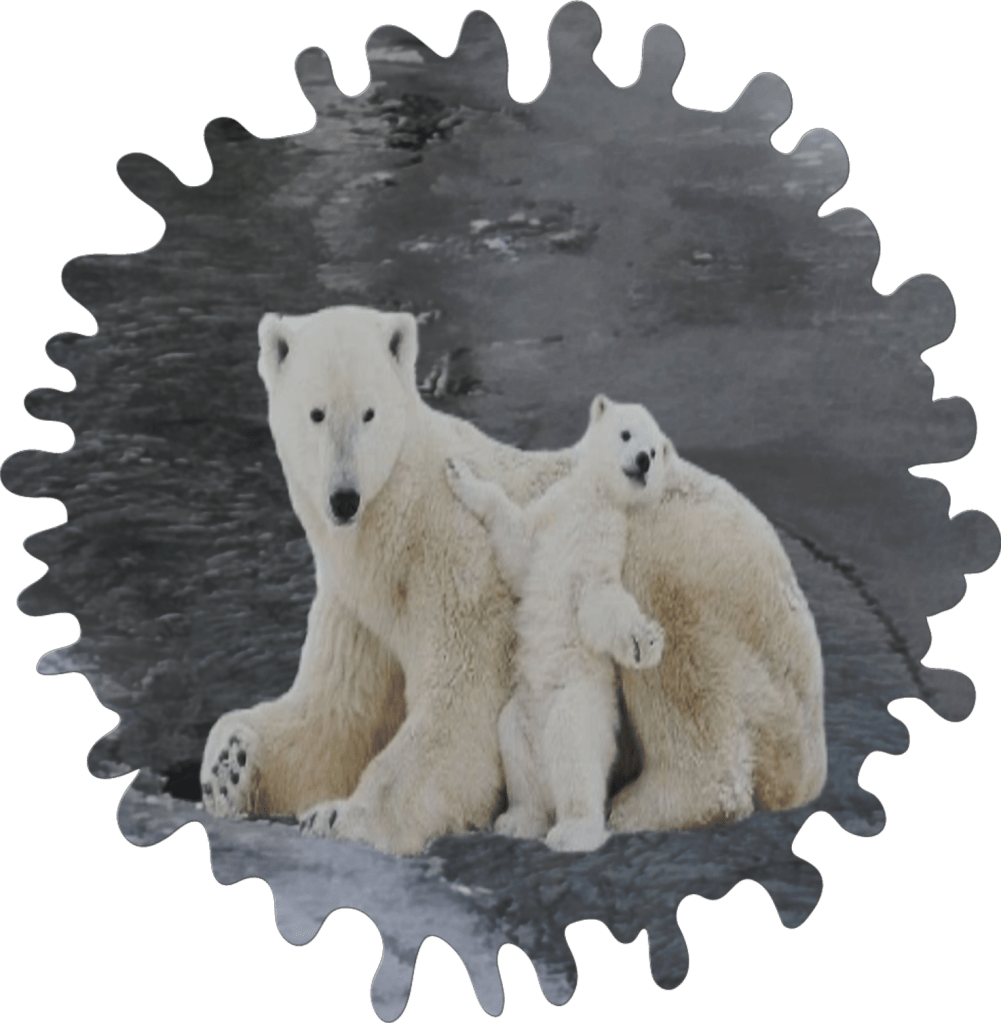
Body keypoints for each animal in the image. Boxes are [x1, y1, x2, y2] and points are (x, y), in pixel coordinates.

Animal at [445, 394, 673, 853]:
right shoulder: (552, 516)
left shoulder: (604, 546)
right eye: (626, 433)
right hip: (519, 713)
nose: (643, 460)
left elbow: (598, 603)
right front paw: (460, 473)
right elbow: (519, 547)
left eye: (655, 451)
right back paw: (518, 819)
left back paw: (573, 831)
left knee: (574, 756)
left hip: (579, 704)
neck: (591, 502)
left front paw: (645, 642)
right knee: (516, 750)